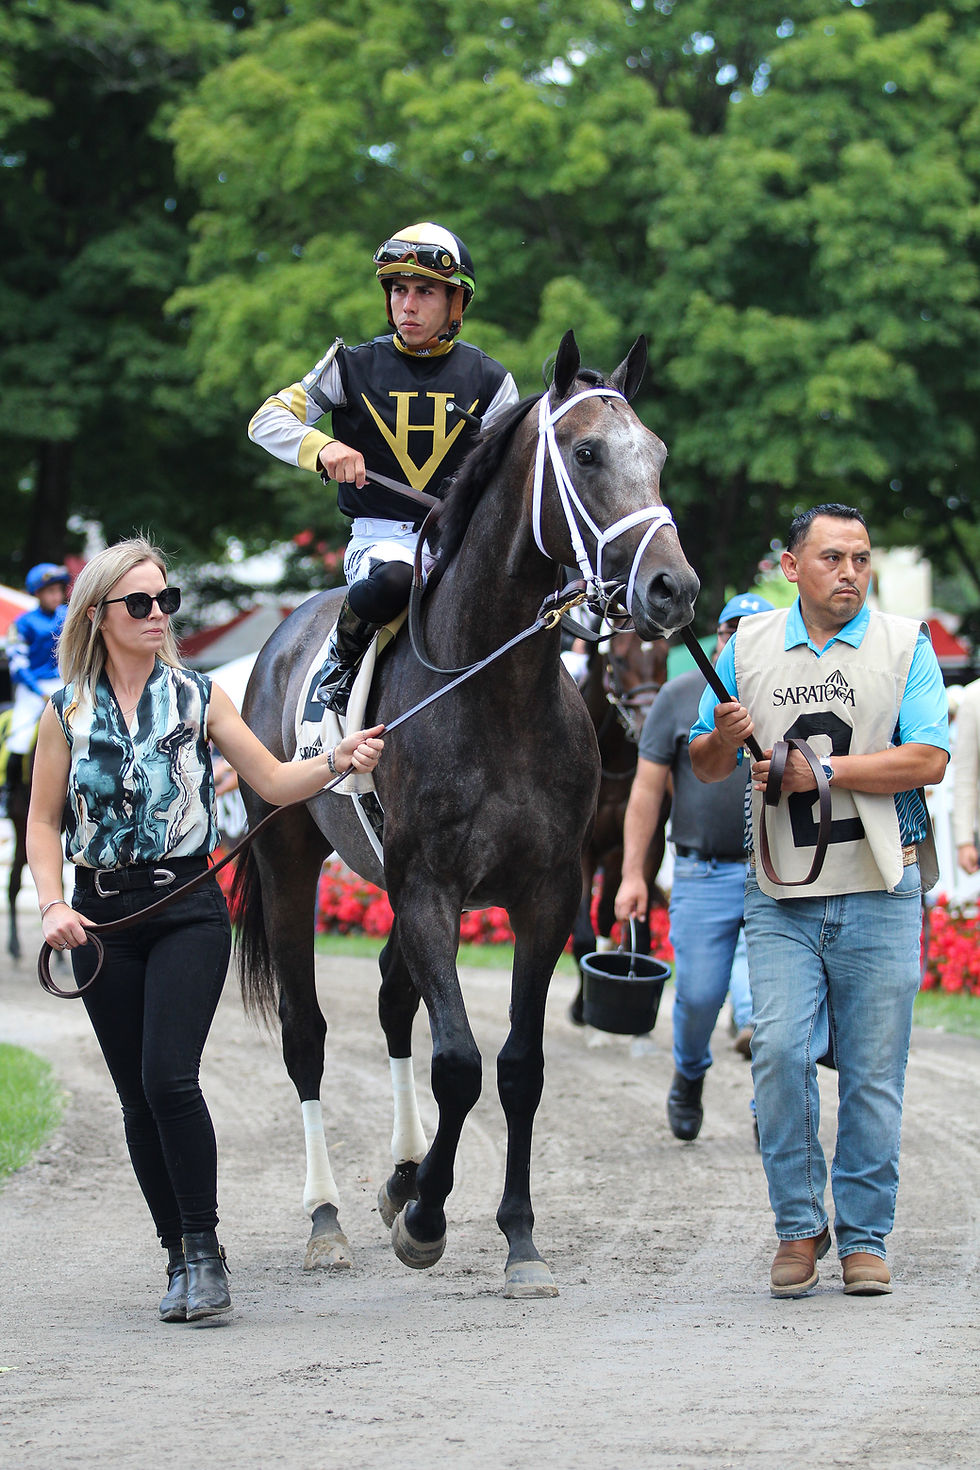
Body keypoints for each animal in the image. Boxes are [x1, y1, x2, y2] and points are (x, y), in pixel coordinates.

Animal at [568, 630, 671, 1024]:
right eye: (621, 659)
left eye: (664, 655)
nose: (649, 722)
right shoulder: (583, 851)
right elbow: (583, 935)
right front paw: (582, 1008)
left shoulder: (648, 842)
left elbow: (634, 927)